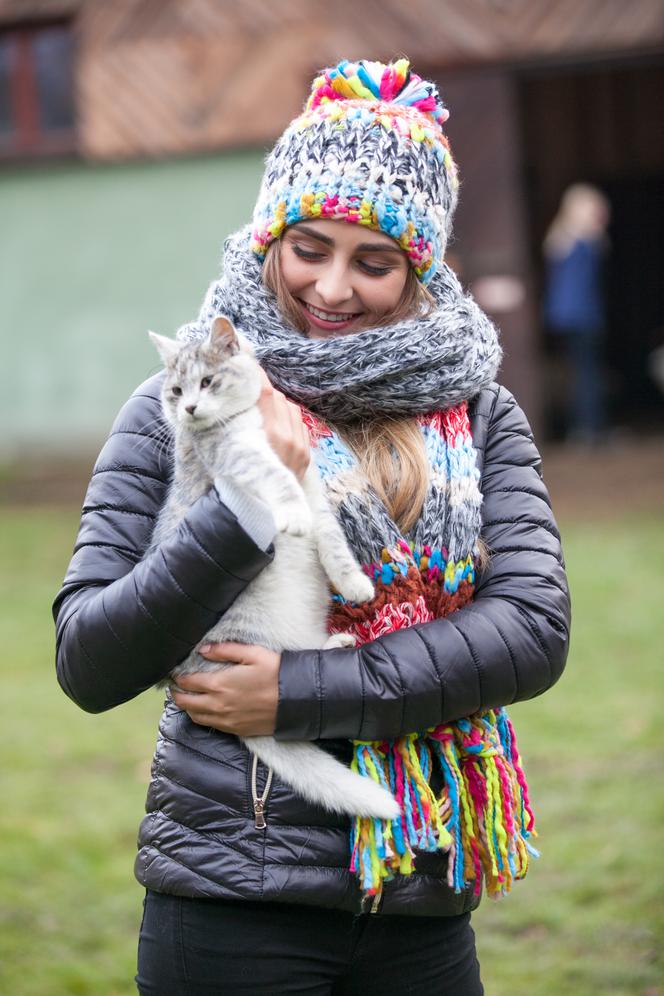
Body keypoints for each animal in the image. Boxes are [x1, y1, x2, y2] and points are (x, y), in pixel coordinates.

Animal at [149, 320, 400, 824]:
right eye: (176, 390)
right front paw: (292, 517)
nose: (189, 408)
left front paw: (354, 583)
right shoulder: (240, 457)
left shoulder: (314, 485)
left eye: (207, 382)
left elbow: (332, 540)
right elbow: (280, 482)